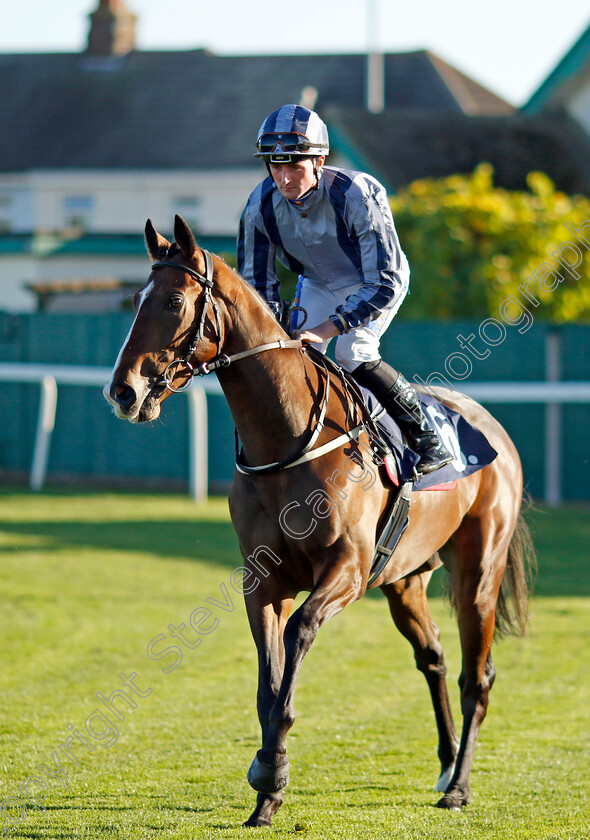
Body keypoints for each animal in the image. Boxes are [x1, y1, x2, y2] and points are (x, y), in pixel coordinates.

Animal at [105, 215, 536, 828]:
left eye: (172, 300)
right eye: (136, 298)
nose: (123, 391)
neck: (288, 442)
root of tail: (489, 424)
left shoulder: (347, 571)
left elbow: (298, 636)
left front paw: (271, 773)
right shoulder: (262, 581)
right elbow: (268, 680)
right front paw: (267, 786)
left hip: (479, 572)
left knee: (476, 676)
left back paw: (459, 787)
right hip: (405, 581)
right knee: (432, 656)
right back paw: (447, 764)